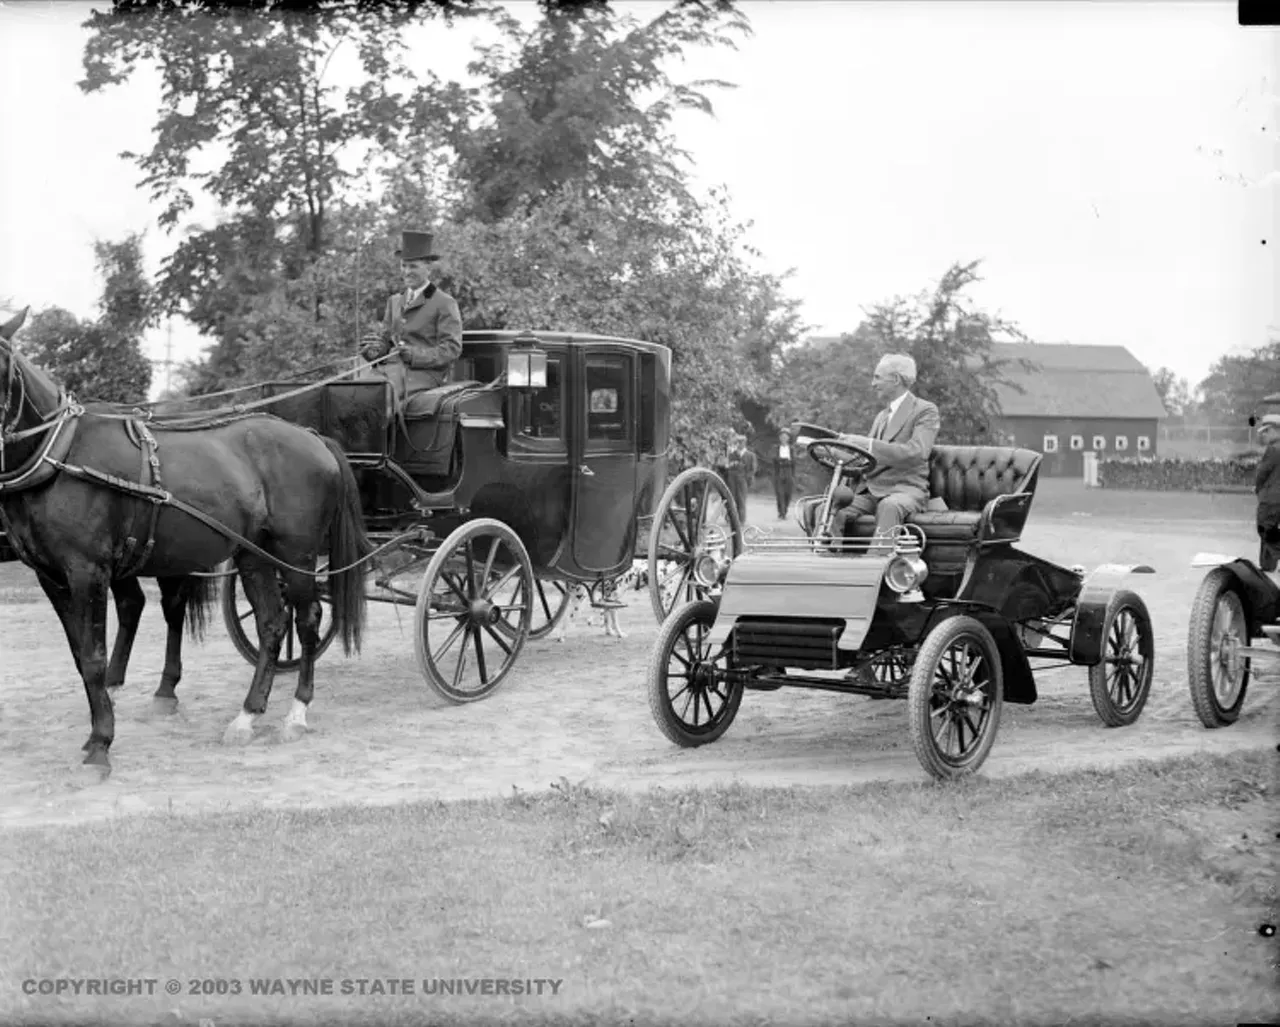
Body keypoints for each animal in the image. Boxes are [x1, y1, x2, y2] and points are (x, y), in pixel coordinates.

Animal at [0, 306, 371, 768]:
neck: (60, 453)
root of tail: (311, 436)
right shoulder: (51, 578)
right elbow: (79, 656)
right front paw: (97, 732)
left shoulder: (89, 571)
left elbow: (94, 656)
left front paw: (101, 744)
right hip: (254, 555)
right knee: (271, 622)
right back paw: (248, 715)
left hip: (296, 555)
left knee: (307, 621)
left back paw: (297, 712)